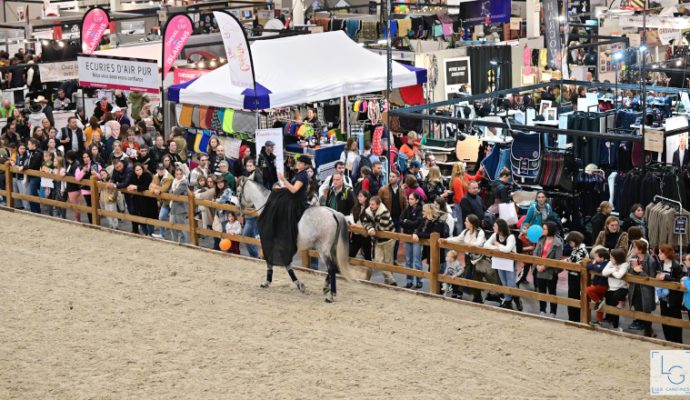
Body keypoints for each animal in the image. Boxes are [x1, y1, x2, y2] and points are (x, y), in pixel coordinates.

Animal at [236, 176, 354, 304]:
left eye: (237, 191)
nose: (238, 208)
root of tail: (334, 213)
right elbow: (285, 264)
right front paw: (299, 285)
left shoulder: (271, 243)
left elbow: (276, 263)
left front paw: (270, 282)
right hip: (331, 248)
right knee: (334, 267)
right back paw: (326, 287)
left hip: (323, 249)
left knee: (331, 268)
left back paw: (330, 296)